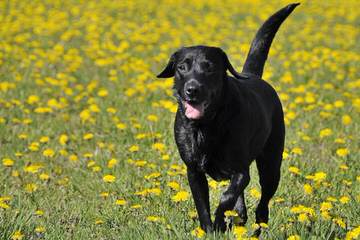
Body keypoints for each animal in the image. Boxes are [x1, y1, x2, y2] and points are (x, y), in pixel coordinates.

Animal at [157, 3, 298, 232]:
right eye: (182, 67)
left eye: (209, 67)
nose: (192, 89)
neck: (206, 126)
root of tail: (253, 76)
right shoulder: (194, 172)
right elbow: (203, 206)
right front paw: (211, 229)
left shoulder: (240, 171)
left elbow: (226, 198)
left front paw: (220, 222)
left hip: (271, 165)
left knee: (262, 208)